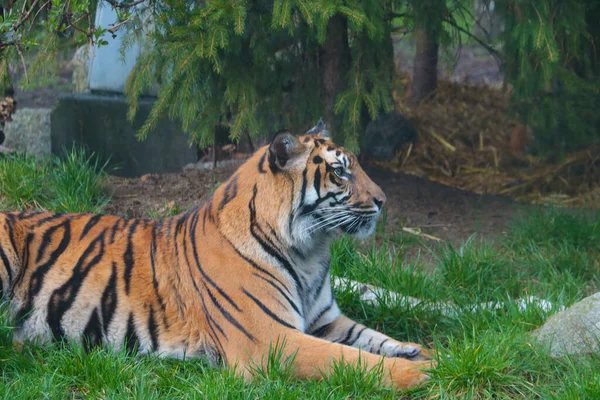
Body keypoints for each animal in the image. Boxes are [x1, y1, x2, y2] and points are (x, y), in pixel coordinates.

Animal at [0, 120, 434, 390]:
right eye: (341, 172)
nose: (382, 200)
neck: (310, 252)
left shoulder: (324, 320)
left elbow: (372, 338)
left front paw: (426, 352)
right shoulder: (272, 340)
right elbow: (351, 359)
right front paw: (425, 373)